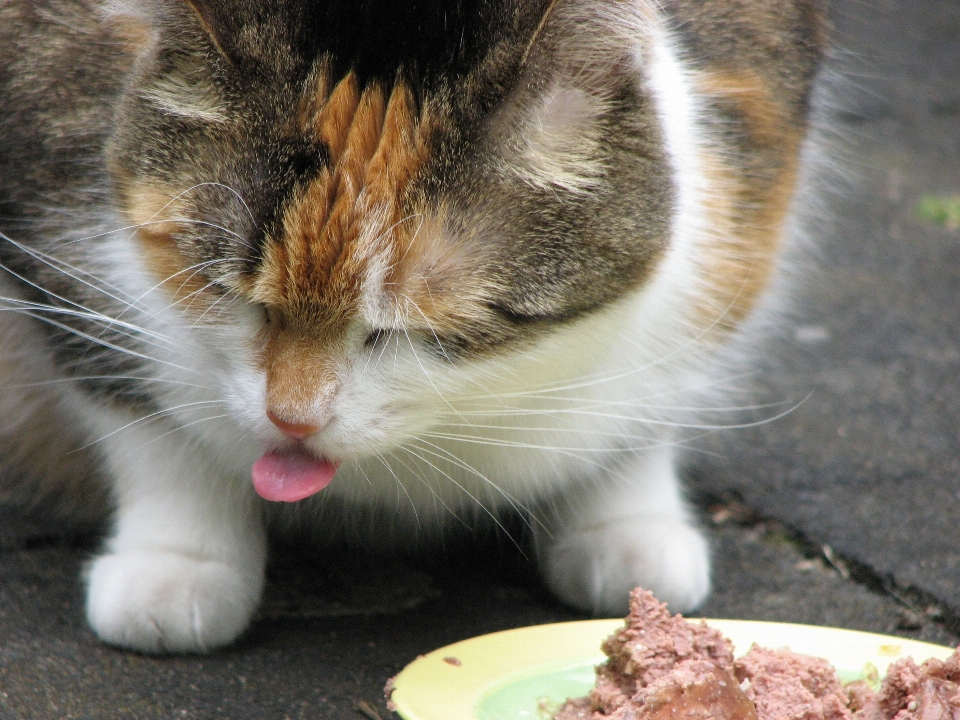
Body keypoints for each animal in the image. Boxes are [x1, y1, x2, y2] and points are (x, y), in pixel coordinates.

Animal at [0, 0, 824, 652]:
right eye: (233, 295)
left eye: (399, 330)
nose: (292, 420)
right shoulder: (55, 205)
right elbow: (142, 416)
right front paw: (177, 565)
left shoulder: (752, 169)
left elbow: (662, 379)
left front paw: (628, 531)